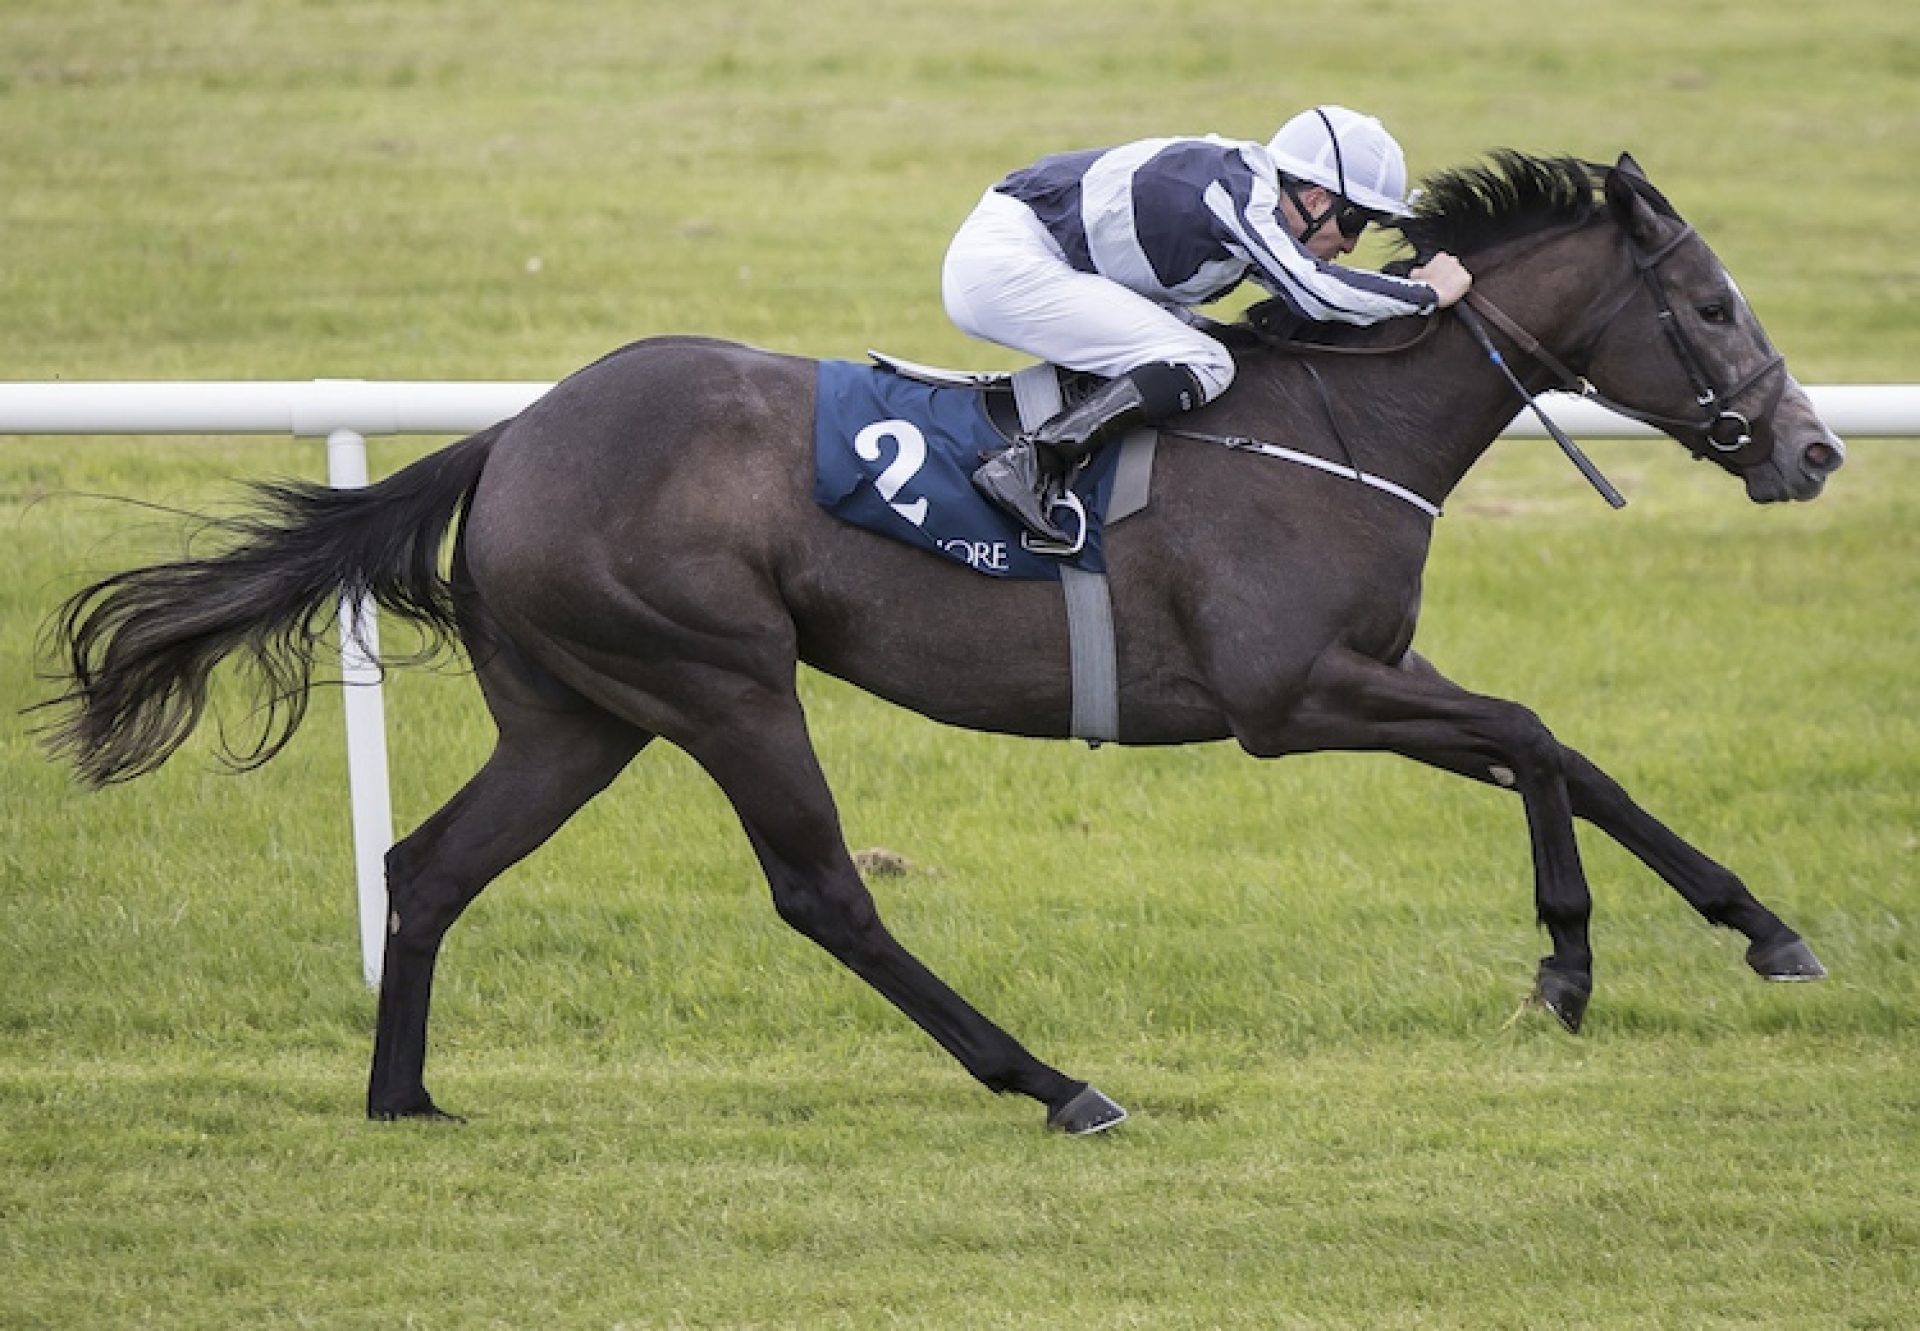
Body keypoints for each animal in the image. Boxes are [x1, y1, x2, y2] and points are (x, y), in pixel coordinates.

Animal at [41, 155, 1843, 1129]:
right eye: (1710, 308)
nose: (1813, 450)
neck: (1343, 420)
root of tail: (511, 435)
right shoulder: (1294, 692)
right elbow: (1535, 733)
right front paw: (1567, 962)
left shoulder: (1367, 682)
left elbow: (1574, 753)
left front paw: (1761, 928)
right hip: (719, 679)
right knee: (824, 894)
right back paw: (1054, 1081)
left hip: (579, 712)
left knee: (428, 865)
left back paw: (401, 1094)